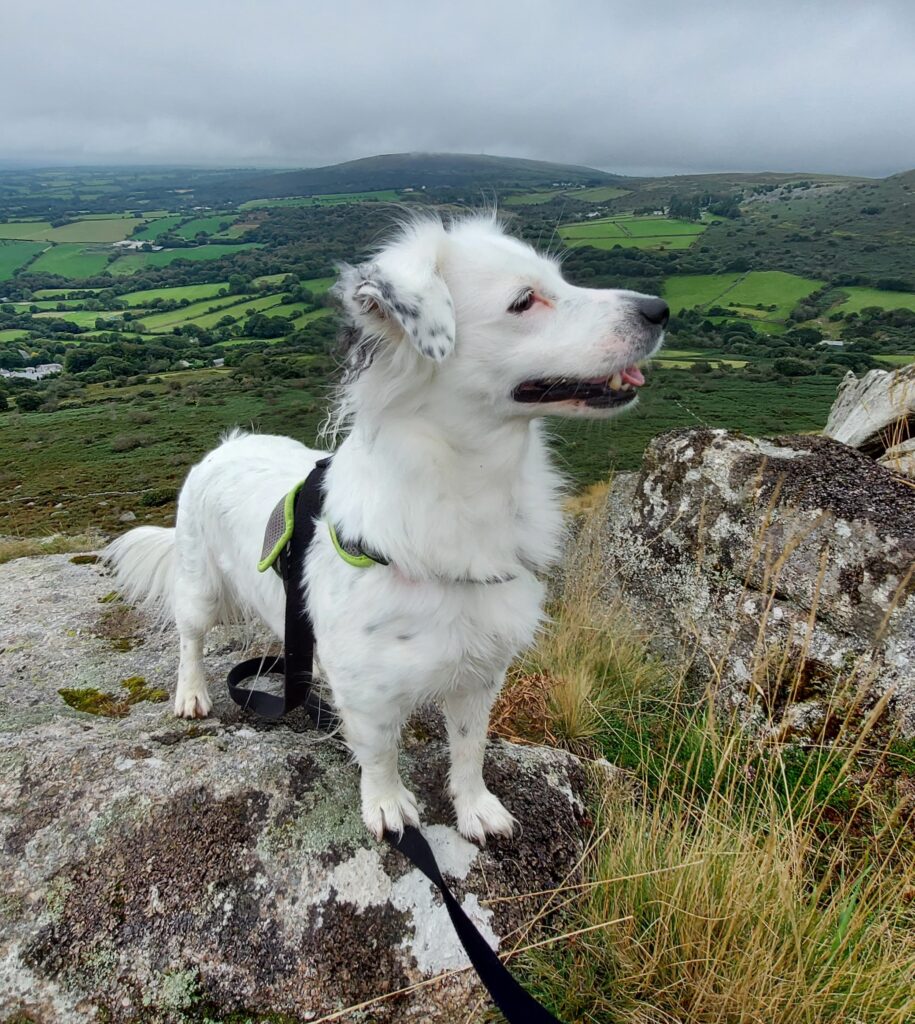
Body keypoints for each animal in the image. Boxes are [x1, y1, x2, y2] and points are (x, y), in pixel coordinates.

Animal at [105, 214, 667, 839]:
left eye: (562, 278)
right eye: (524, 300)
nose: (659, 309)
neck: (469, 492)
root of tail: (228, 445)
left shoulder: (482, 669)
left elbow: (469, 747)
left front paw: (476, 806)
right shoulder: (367, 687)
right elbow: (379, 751)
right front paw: (388, 806)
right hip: (199, 584)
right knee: (190, 638)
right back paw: (192, 693)